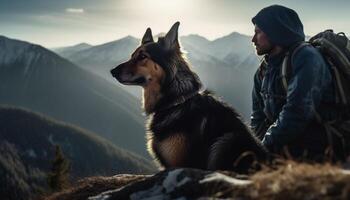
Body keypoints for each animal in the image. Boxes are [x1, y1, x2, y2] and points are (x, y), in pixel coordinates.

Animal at [110, 21, 268, 173]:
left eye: (142, 56)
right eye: (132, 55)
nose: (112, 71)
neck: (176, 102)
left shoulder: (180, 164)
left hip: (227, 140)